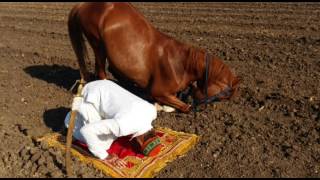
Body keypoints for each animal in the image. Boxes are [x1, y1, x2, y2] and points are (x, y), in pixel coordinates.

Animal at [67, 2, 239, 112]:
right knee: (101, 72)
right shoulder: (159, 92)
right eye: (224, 95)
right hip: (97, 44)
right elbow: (185, 107)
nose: (204, 108)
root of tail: (84, 5)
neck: (181, 64)